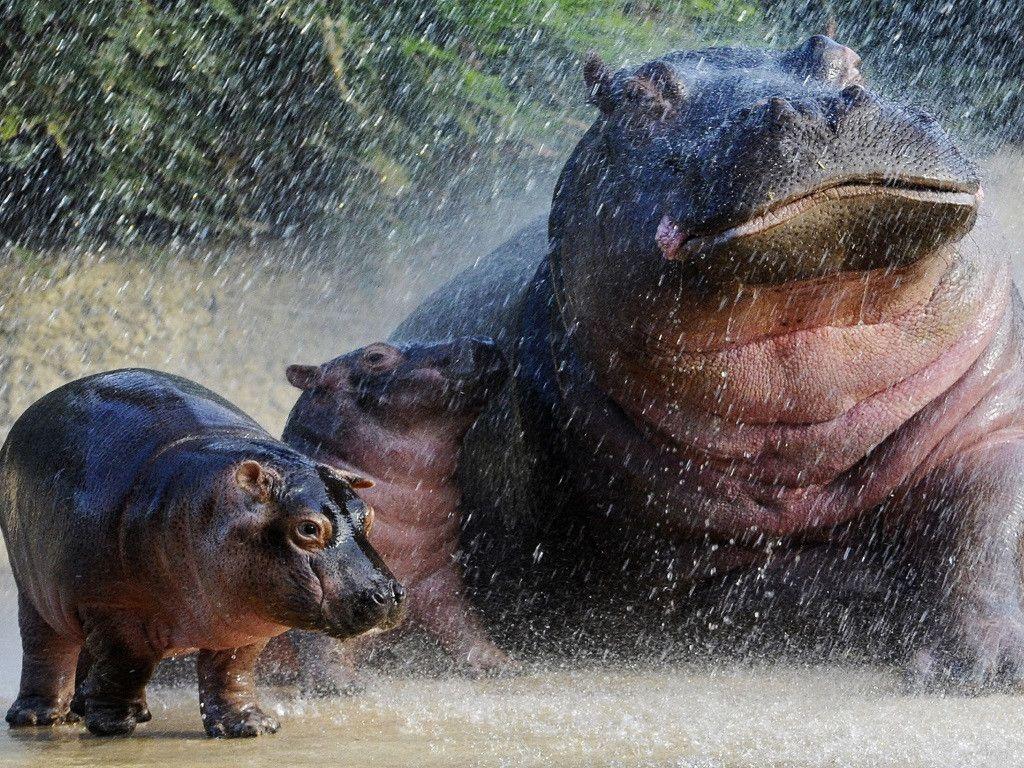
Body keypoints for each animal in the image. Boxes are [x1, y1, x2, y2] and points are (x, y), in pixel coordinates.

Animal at [0, 369, 405, 737]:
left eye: (368, 514)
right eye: (307, 528)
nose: (387, 593)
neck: (206, 506)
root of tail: (41, 403)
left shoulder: (245, 622)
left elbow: (232, 671)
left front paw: (250, 726)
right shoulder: (115, 610)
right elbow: (125, 664)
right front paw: (114, 725)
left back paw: (95, 710)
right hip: (35, 588)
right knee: (46, 648)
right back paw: (39, 717)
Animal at [274, 337, 511, 692]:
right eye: (375, 356)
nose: (482, 340)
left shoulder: (439, 575)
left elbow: (462, 624)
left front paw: (503, 664)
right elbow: (320, 638)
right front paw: (344, 687)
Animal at [392, 36, 1024, 688]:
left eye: (844, 56)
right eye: (633, 93)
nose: (821, 108)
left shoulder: (991, 415)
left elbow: (986, 524)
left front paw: (978, 664)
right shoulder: (659, 555)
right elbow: (786, 585)